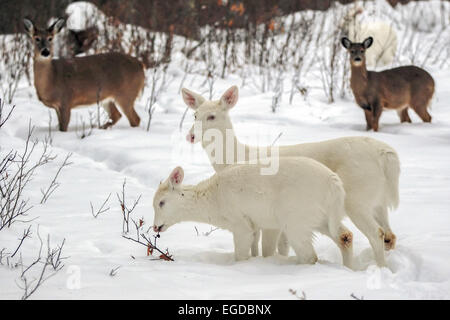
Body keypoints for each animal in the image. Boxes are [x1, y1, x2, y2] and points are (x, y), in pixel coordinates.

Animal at [153, 159, 354, 268]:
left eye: (161, 202)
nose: (155, 226)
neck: (213, 201)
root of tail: (335, 183)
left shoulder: (240, 223)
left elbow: (242, 253)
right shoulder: (256, 224)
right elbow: (257, 248)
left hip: (296, 219)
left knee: (310, 255)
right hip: (322, 218)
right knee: (345, 235)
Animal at [183, 85, 400, 268]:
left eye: (212, 116)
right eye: (194, 114)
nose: (191, 136)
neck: (235, 157)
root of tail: (386, 154)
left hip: (357, 197)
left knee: (375, 234)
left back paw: (377, 268)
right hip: (377, 200)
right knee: (389, 235)